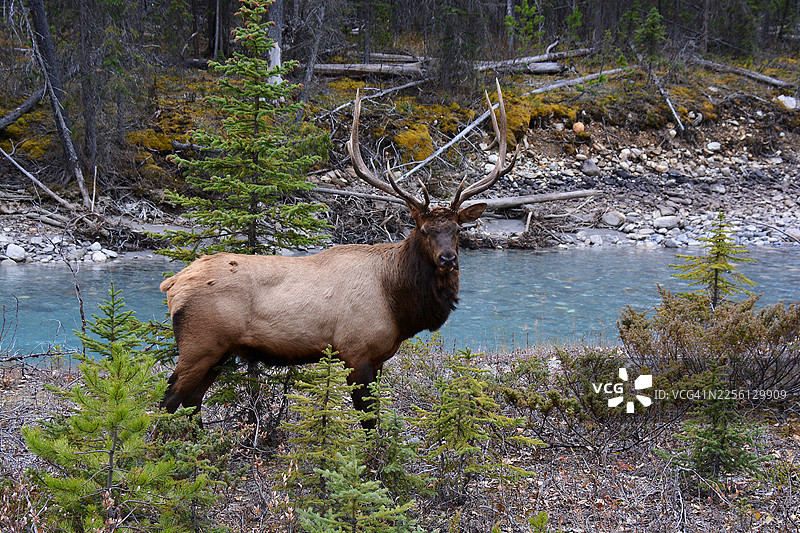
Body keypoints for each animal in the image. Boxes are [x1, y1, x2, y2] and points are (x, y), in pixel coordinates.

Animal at [159, 80, 518, 424]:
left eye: (457, 230)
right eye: (424, 230)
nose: (447, 259)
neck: (398, 302)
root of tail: (173, 284)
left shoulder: (380, 356)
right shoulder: (355, 350)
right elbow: (367, 420)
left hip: (222, 353)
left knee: (192, 403)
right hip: (200, 344)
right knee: (168, 400)